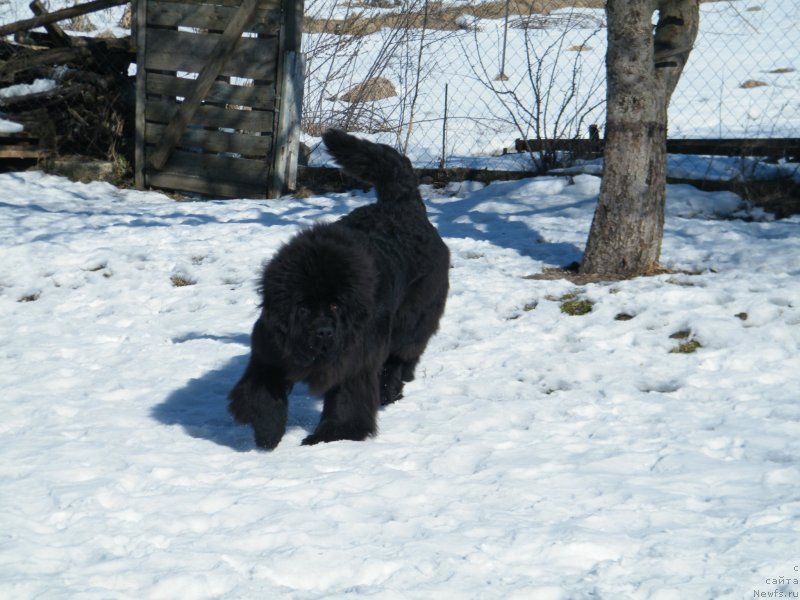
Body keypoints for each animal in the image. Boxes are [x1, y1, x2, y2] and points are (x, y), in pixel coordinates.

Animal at [227, 131, 450, 450]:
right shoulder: (270, 351)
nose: (323, 332)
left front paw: (331, 436)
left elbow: (347, 400)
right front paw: (268, 432)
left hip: (413, 316)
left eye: (335, 306)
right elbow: (263, 391)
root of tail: (404, 205)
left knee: (402, 354)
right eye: (303, 307)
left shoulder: (357, 358)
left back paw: (389, 389)